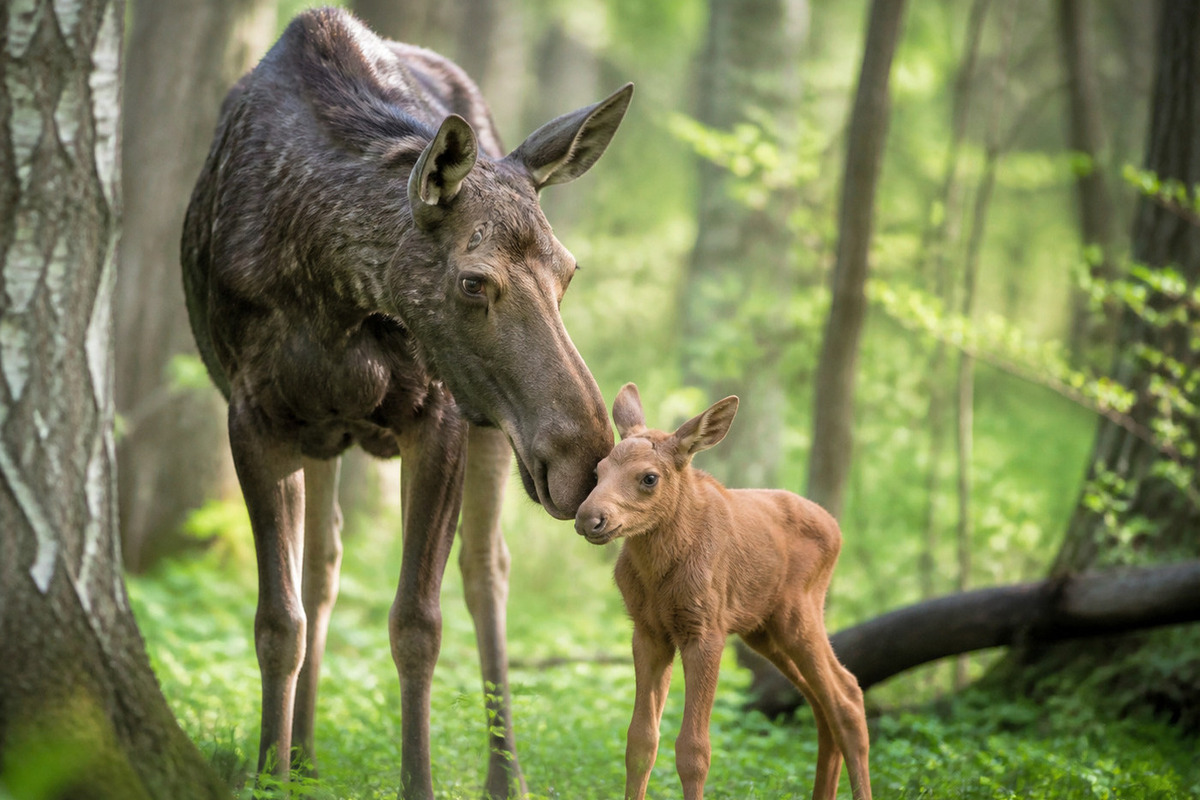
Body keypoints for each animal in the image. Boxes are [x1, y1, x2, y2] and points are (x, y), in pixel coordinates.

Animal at [181, 8, 631, 798]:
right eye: (474, 281)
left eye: (569, 270)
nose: (586, 458)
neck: (329, 287)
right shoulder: (253, 413)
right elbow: (277, 622)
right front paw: (271, 771)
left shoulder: (441, 413)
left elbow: (417, 624)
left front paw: (415, 781)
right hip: (329, 430)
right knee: (323, 565)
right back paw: (305, 755)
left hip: (488, 430)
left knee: (486, 571)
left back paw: (505, 775)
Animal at [574, 384, 872, 800]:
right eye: (598, 471)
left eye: (649, 478)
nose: (589, 518)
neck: (657, 572)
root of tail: (836, 530)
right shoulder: (649, 633)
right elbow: (640, 742)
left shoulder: (706, 631)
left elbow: (694, 750)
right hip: (764, 631)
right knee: (822, 705)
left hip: (798, 615)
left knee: (846, 698)